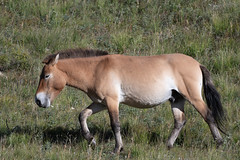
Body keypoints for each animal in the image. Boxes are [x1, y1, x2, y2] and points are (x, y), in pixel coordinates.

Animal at [34, 48, 226, 153]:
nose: (38, 100)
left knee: (208, 116)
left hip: (193, 97)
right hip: (176, 100)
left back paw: (219, 143)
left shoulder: (112, 102)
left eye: (46, 75)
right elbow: (82, 116)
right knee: (180, 121)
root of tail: (197, 64)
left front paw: (117, 148)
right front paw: (92, 140)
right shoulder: (100, 103)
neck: (96, 69)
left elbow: (115, 124)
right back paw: (168, 145)